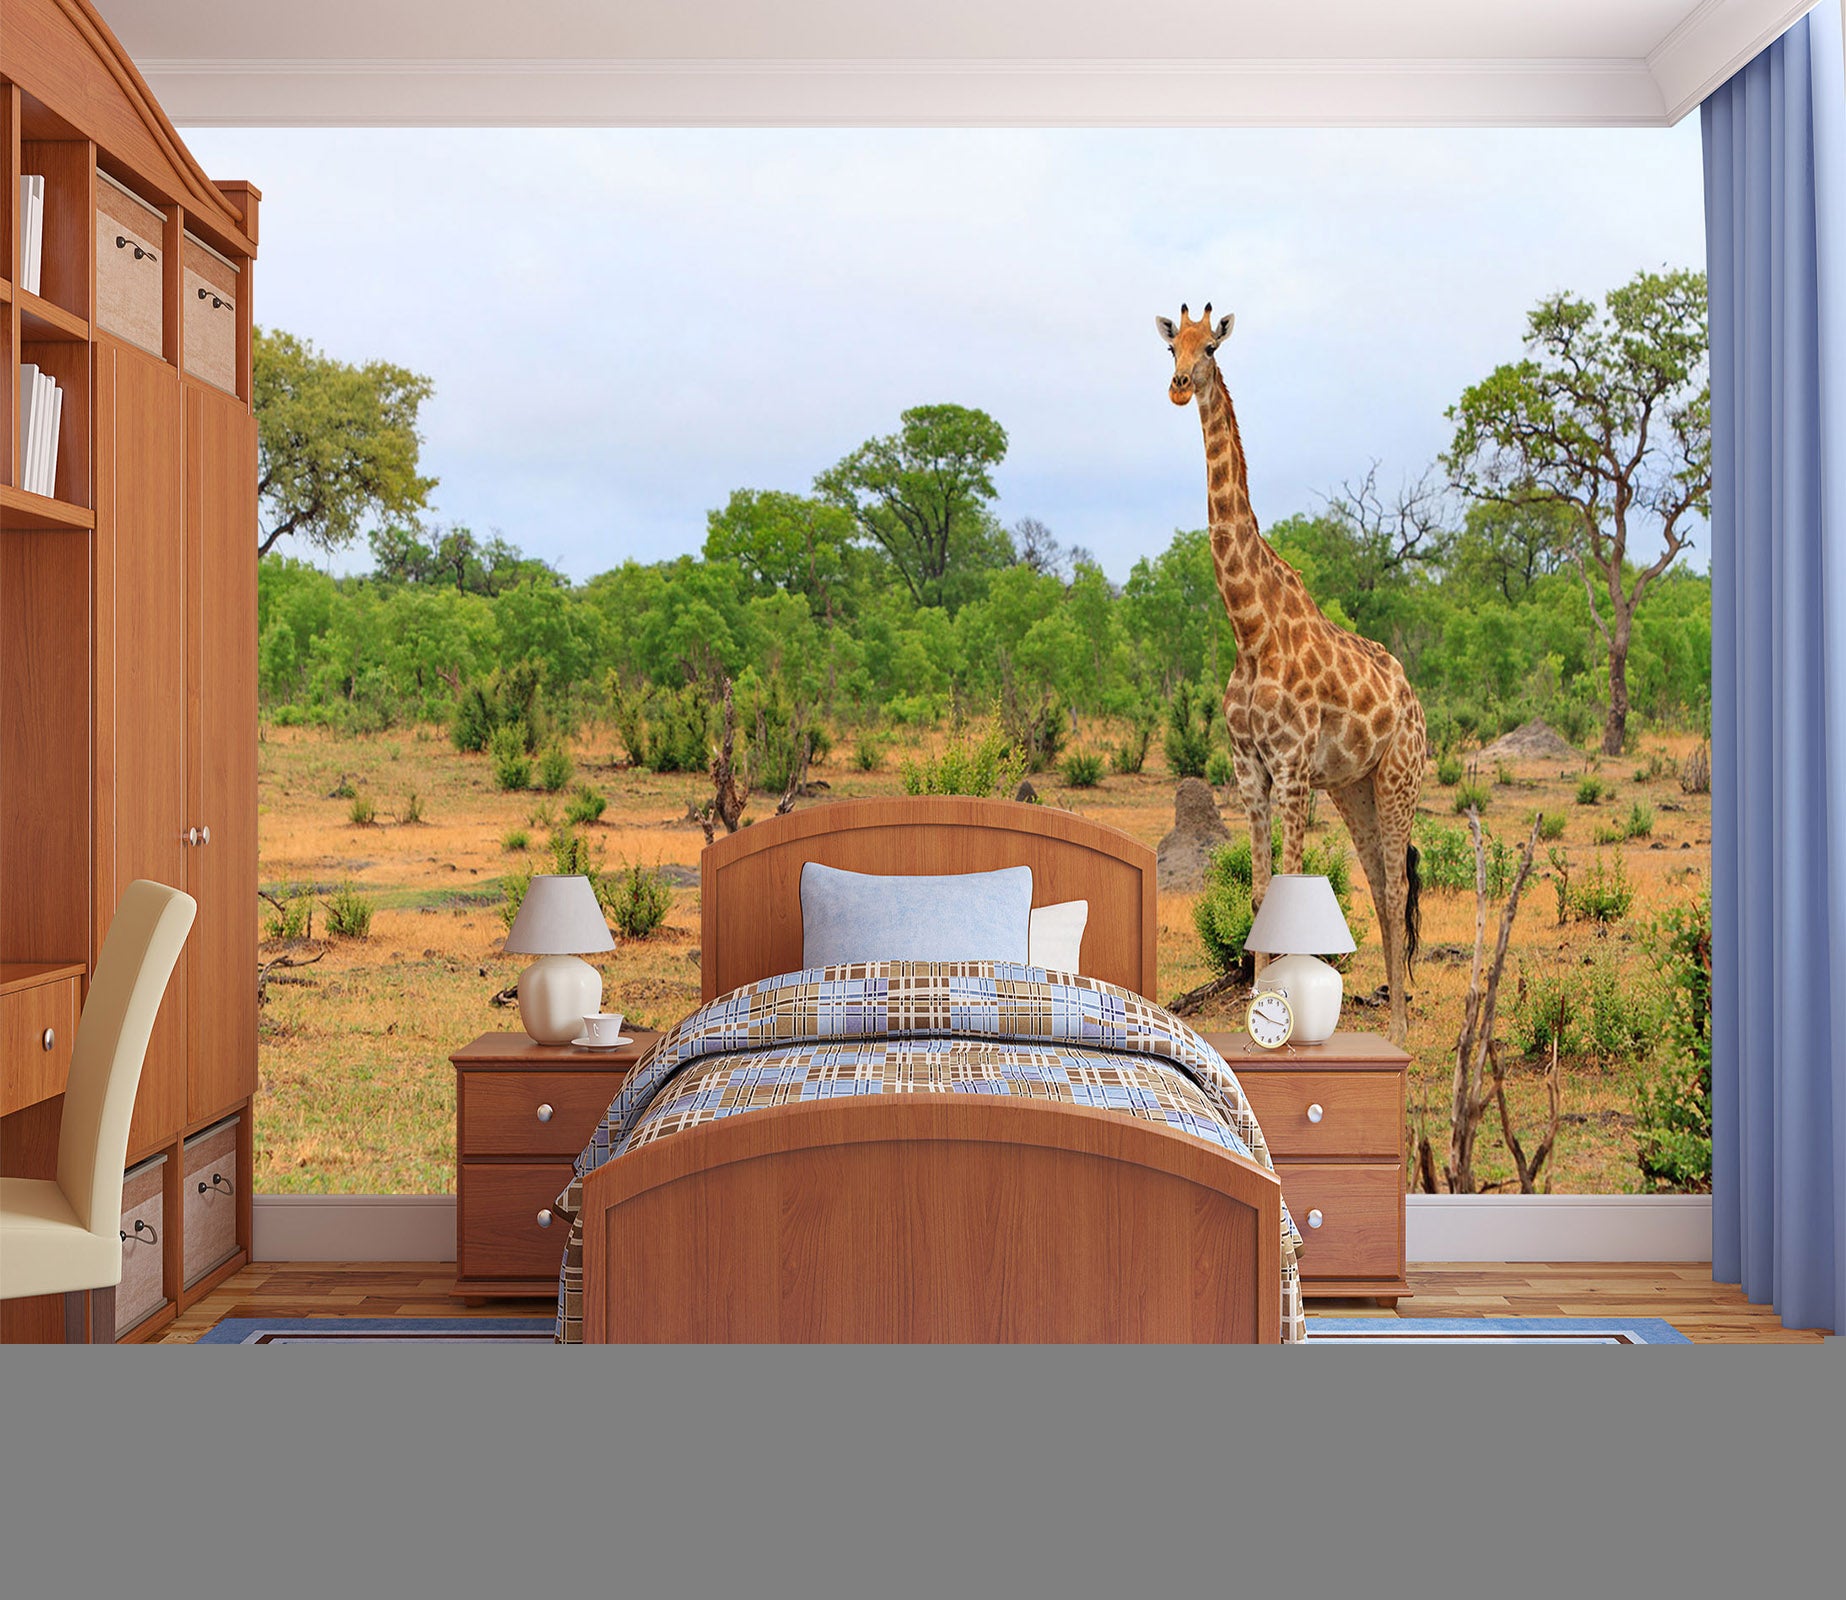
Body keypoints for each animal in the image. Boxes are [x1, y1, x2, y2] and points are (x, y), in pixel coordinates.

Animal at [1155, 303, 1426, 1043]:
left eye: (1211, 348)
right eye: (1171, 344)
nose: (1179, 387)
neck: (1249, 630)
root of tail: (1414, 698)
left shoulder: (1294, 765)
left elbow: (1291, 887)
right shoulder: (1250, 767)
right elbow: (1256, 892)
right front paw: (1257, 1014)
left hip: (1399, 775)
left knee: (1396, 884)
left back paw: (1399, 1032)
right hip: (1355, 787)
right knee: (1379, 885)